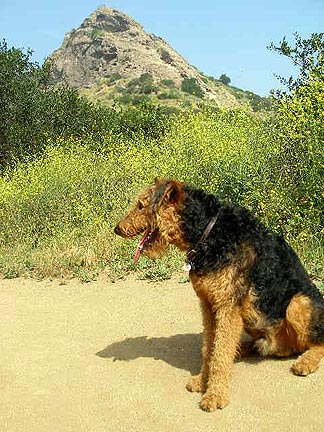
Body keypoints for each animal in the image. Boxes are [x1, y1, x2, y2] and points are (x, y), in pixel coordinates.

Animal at [114, 178, 324, 412]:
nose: (117, 229)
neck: (207, 233)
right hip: (251, 319)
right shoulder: (208, 304)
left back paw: (305, 362)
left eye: (141, 205)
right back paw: (246, 348)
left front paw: (215, 395)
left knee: (316, 343)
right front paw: (202, 381)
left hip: (297, 303)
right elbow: (210, 349)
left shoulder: (227, 306)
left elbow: (220, 353)